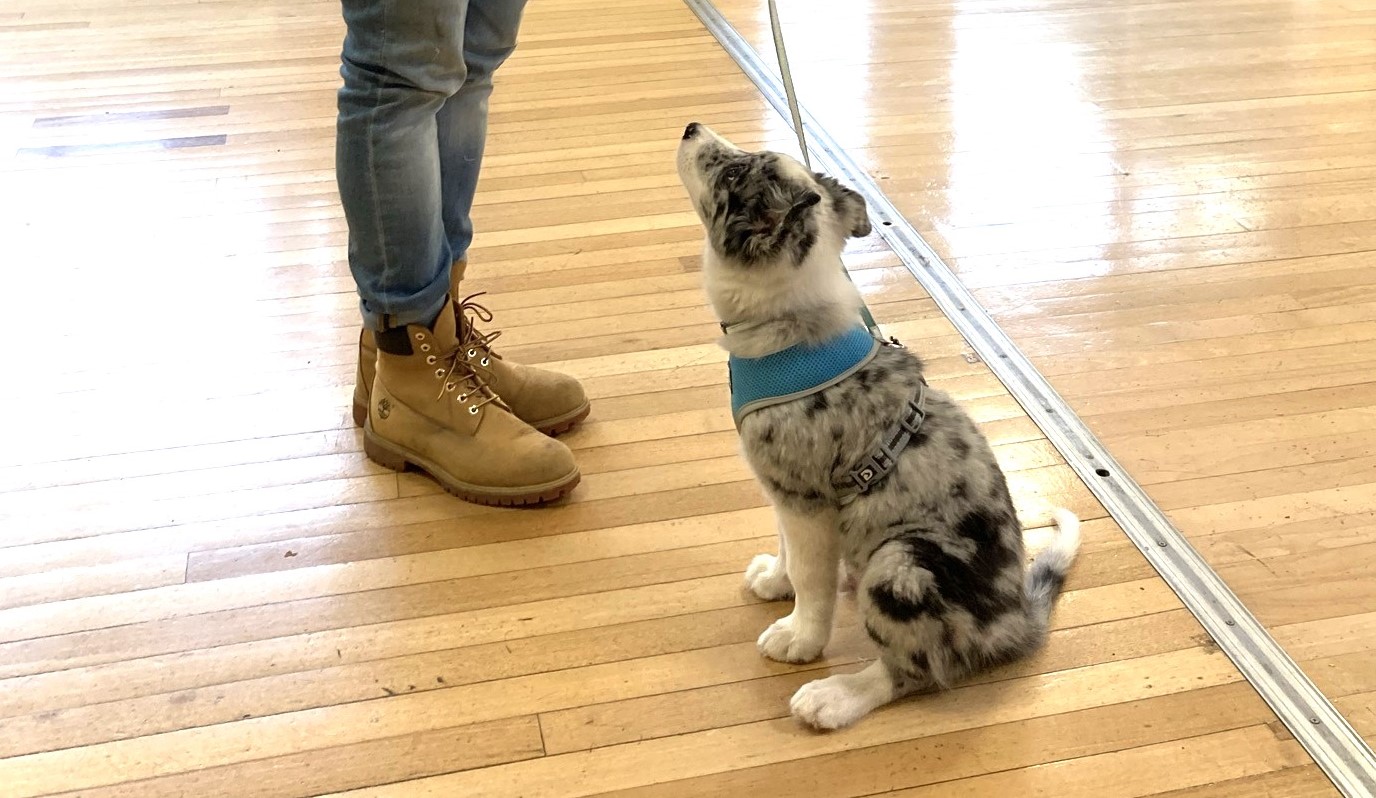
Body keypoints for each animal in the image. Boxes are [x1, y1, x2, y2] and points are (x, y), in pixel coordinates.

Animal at [676, 123, 1084, 731]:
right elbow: (788, 552)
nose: (691, 128)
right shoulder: (786, 494)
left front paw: (798, 638)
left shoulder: (808, 503)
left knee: (916, 669)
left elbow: (813, 584)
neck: (789, 331)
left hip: (900, 565)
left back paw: (834, 696)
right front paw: (775, 580)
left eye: (730, 173)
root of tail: (1017, 623)